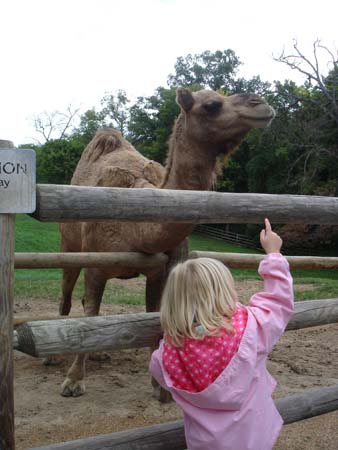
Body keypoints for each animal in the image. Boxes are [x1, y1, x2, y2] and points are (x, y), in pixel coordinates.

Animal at [58, 88, 274, 398]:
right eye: (211, 105)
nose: (261, 104)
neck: (138, 231)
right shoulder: (96, 265)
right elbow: (90, 316)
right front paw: (74, 381)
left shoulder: (158, 270)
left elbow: (153, 317)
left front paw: (160, 386)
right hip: (69, 244)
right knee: (67, 295)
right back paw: (53, 358)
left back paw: (100, 353)